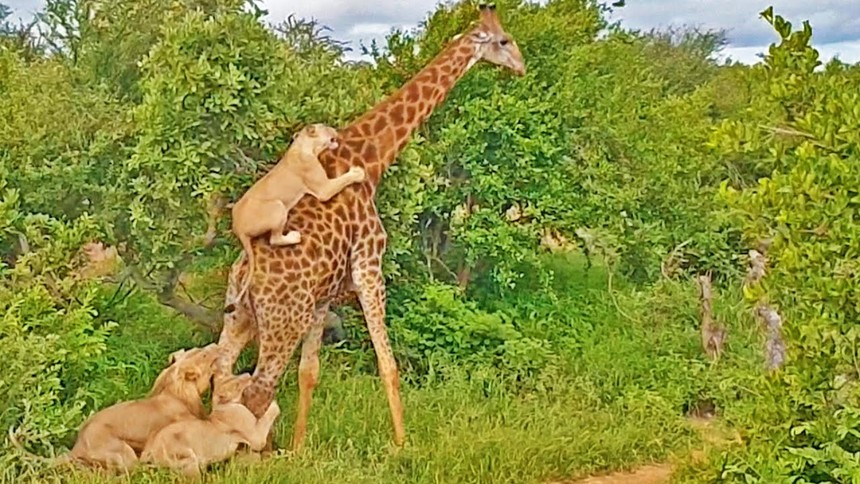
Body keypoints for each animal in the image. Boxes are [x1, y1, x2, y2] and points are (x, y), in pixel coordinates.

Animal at [141, 370, 280, 476]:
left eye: (232, 376)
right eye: (236, 384)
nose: (248, 374)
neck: (223, 405)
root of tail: (150, 450)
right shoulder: (256, 437)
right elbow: (268, 416)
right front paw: (275, 403)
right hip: (187, 459)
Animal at [215, 3, 524, 450]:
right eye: (503, 41)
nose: (522, 66)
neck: (372, 157)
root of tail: (246, 272)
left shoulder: (323, 298)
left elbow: (309, 374)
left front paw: (299, 448)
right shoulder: (369, 267)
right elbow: (387, 363)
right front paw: (403, 446)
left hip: (239, 317)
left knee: (222, 376)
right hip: (282, 322)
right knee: (256, 390)